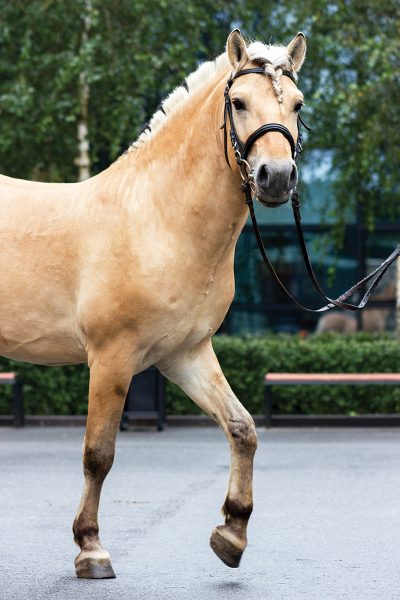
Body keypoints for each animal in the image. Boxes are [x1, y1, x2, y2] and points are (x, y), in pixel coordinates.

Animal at [0, 30, 306, 580]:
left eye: (297, 104)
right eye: (237, 102)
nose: (275, 177)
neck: (158, 218)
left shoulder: (185, 354)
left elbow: (242, 428)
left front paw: (232, 532)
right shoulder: (112, 359)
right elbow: (98, 454)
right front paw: (91, 548)